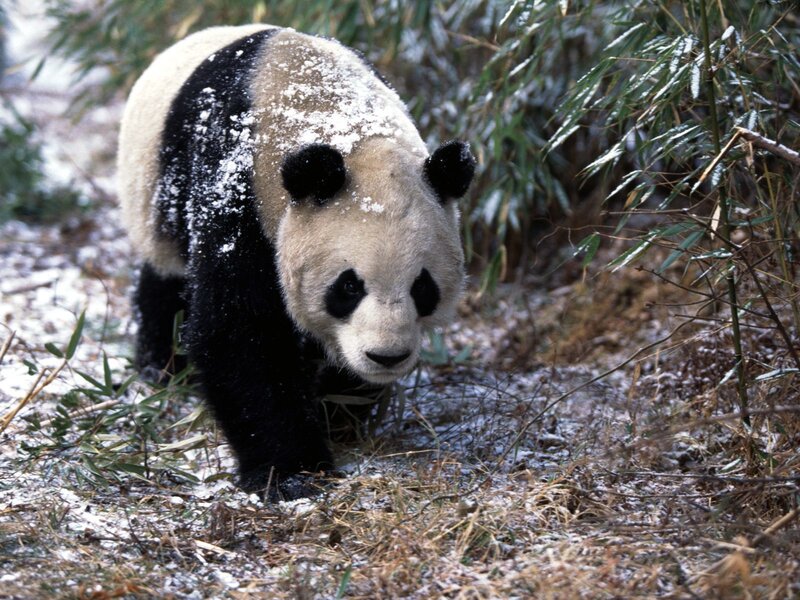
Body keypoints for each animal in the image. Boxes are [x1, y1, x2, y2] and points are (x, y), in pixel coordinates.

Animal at [117, 25, 475, 498]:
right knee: (166, 280)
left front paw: (337, 412)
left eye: (423, 287)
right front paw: (291, 472)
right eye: (348, 287)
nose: (387, 356)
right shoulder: (235, 186)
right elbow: (239, 331)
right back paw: (164, 366)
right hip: (157, 197)